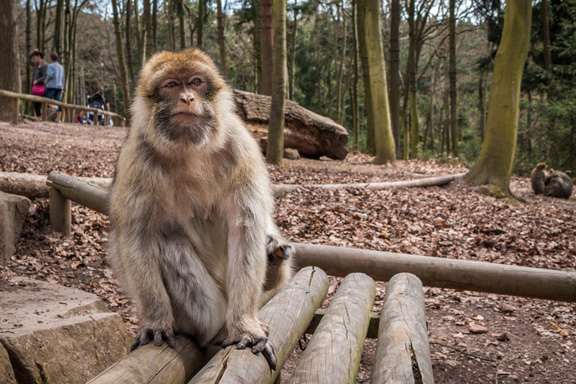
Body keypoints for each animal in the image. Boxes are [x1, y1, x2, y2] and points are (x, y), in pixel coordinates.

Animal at [109, 48, 292, 368]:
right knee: (168, 244)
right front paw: (156, 321)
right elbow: (137, 237)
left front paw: (245, 328)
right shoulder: (136, 158)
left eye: (195, 81)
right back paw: (216, 329)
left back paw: (272, 265)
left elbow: (245, 231)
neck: (189, 148)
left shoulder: (241, 148)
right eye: (171, 84)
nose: (187, 98)